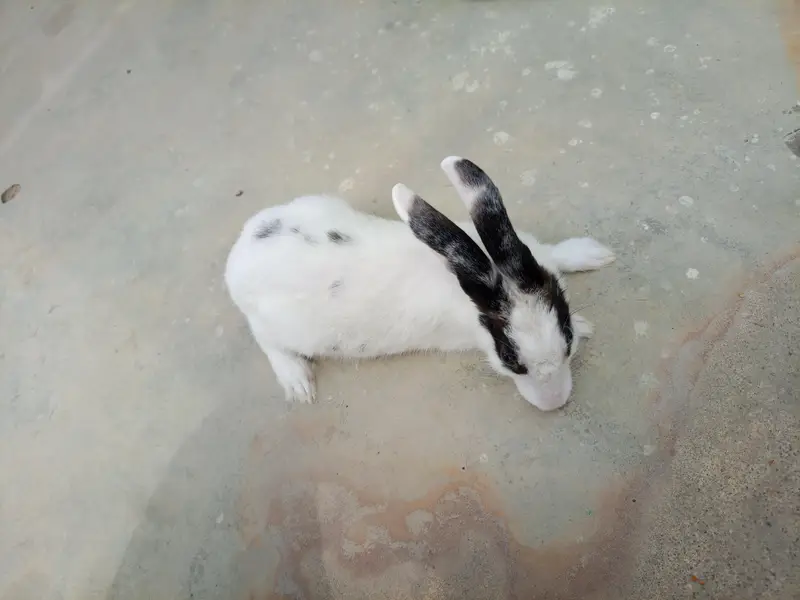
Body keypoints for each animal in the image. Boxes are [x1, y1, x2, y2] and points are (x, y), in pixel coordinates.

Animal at [224, 156, 615, 411]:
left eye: (567, 340)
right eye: (510, 361)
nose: (555, 403)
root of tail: (237, 259)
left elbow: (555, 255)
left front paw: (595, 255)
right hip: (285, 329)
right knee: (267, 341)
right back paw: (298, 383)